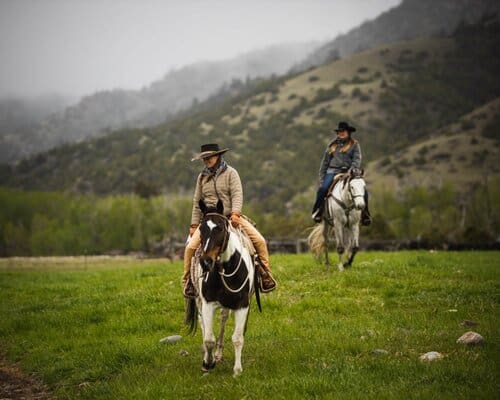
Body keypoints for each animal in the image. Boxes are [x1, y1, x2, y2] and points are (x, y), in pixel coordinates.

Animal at [184, 199, 256, 376]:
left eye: (221, 228)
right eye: (201, 229)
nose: (205, 262)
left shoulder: (242, 305)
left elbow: (237, 338)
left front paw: (237, 370)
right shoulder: (208, 304)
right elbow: (209, 338)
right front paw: (207, 363)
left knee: (223, 319)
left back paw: (218, 353)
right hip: (199, 301)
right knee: (203, 326)